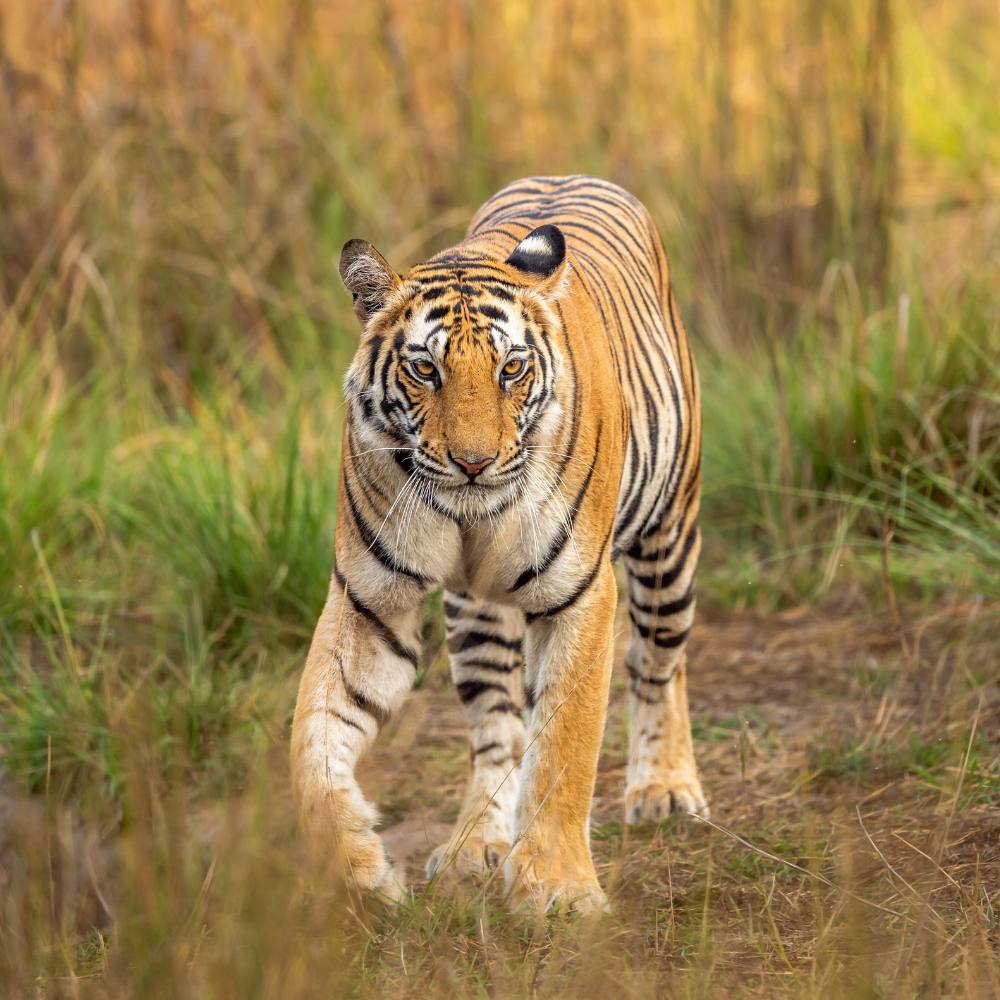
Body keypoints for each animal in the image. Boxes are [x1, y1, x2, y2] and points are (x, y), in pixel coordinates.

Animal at [290, 174, 707, 915]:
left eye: (512, 368)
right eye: (425, 369)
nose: (474, 463)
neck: (469, 516)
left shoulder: (580, 593)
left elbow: (566, 743)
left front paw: (560, 890)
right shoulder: (370, 601)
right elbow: (313, 740)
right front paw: (360, 871)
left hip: (669, 543)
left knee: (658, 663)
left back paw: (663, 788)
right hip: (475, 611)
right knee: (499, 728)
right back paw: (473, 845)